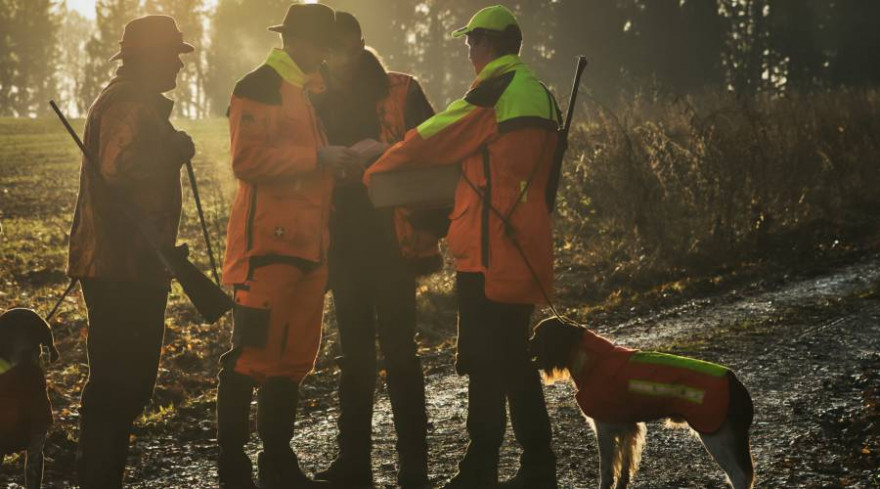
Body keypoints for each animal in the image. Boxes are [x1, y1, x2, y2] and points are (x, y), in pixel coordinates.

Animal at [528, 316, 756, 488]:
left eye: (537, 335)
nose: (524, 346)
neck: (590, 359)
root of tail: (734, 381)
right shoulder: (628, 427)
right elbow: (624, 466)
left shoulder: (604, 427)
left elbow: (606, 469)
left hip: (717, 436)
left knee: (739, 476)